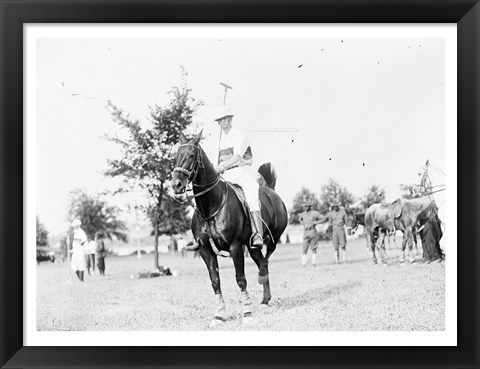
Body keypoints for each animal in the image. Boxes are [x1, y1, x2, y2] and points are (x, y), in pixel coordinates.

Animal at [171, 132, 286, 324]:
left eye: (191, 155)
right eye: (176, 156)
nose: (176, 185)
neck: (210, 207)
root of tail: (271, 191)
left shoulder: (235, 246)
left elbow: (241, 279)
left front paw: (247, 313)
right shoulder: (205, 250)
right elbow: (215, 281)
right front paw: (218, 315)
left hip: (272, 237)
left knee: (267, 257)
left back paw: (262, 278)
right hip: (251, 247)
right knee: (262, 261)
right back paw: (264, 298)